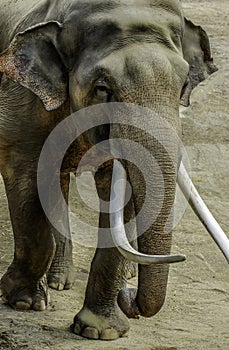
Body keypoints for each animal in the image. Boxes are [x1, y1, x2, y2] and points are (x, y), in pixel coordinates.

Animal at [0, 0, 218, 340]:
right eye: (103, 88)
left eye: (183, 85)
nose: (130, 302)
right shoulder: (19, 100)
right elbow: (26, 176)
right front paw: (22, 301)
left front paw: (100, 331)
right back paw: (59, 282)